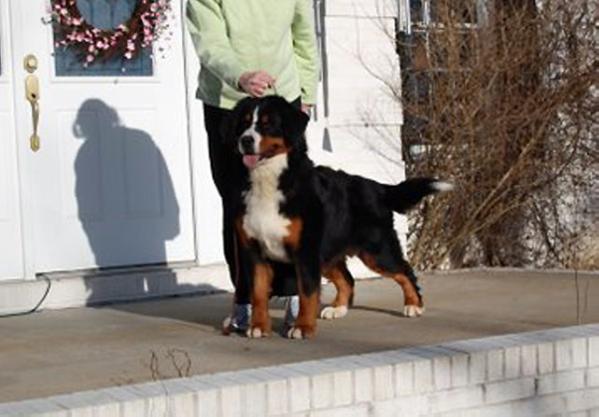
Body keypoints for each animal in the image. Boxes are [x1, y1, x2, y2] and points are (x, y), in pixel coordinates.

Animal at [227, 95, 452, 338]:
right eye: (244, 122)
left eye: (268, 123)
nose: (246, 140)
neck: (269, 181)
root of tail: (377, 187)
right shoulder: (254, 251)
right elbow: (258, 292)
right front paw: (259, 326)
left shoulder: (305, 251)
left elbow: (307, 292)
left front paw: (303, 327)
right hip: (329, 253)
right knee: (348, 280)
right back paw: (338, 309)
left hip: (376, 251)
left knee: (404, 271)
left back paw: (413, 305)